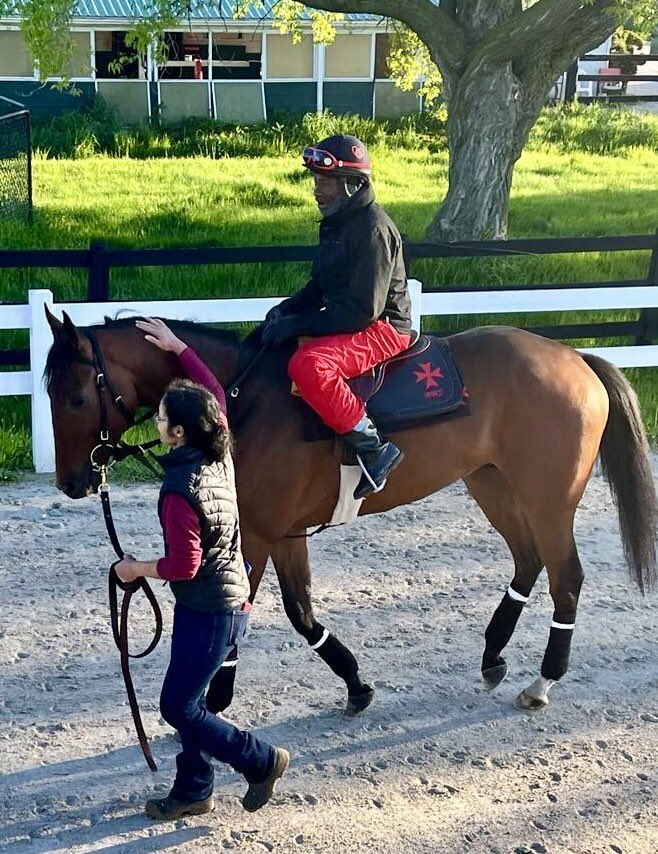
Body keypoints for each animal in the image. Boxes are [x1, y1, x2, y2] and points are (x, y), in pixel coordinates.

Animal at [43, 310, 652, 720]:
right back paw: (492, 656)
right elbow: (302, 613)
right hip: (491, 483)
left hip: (548, 498)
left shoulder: (259, 533)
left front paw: (215, 700)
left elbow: (243, 613)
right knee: (527, 562)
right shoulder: (283, 532)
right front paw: (356, 684)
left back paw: (543, 681)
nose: (72, 482)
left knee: (566, 577)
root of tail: (576, 358)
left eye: (74, 398)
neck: (240, 397)